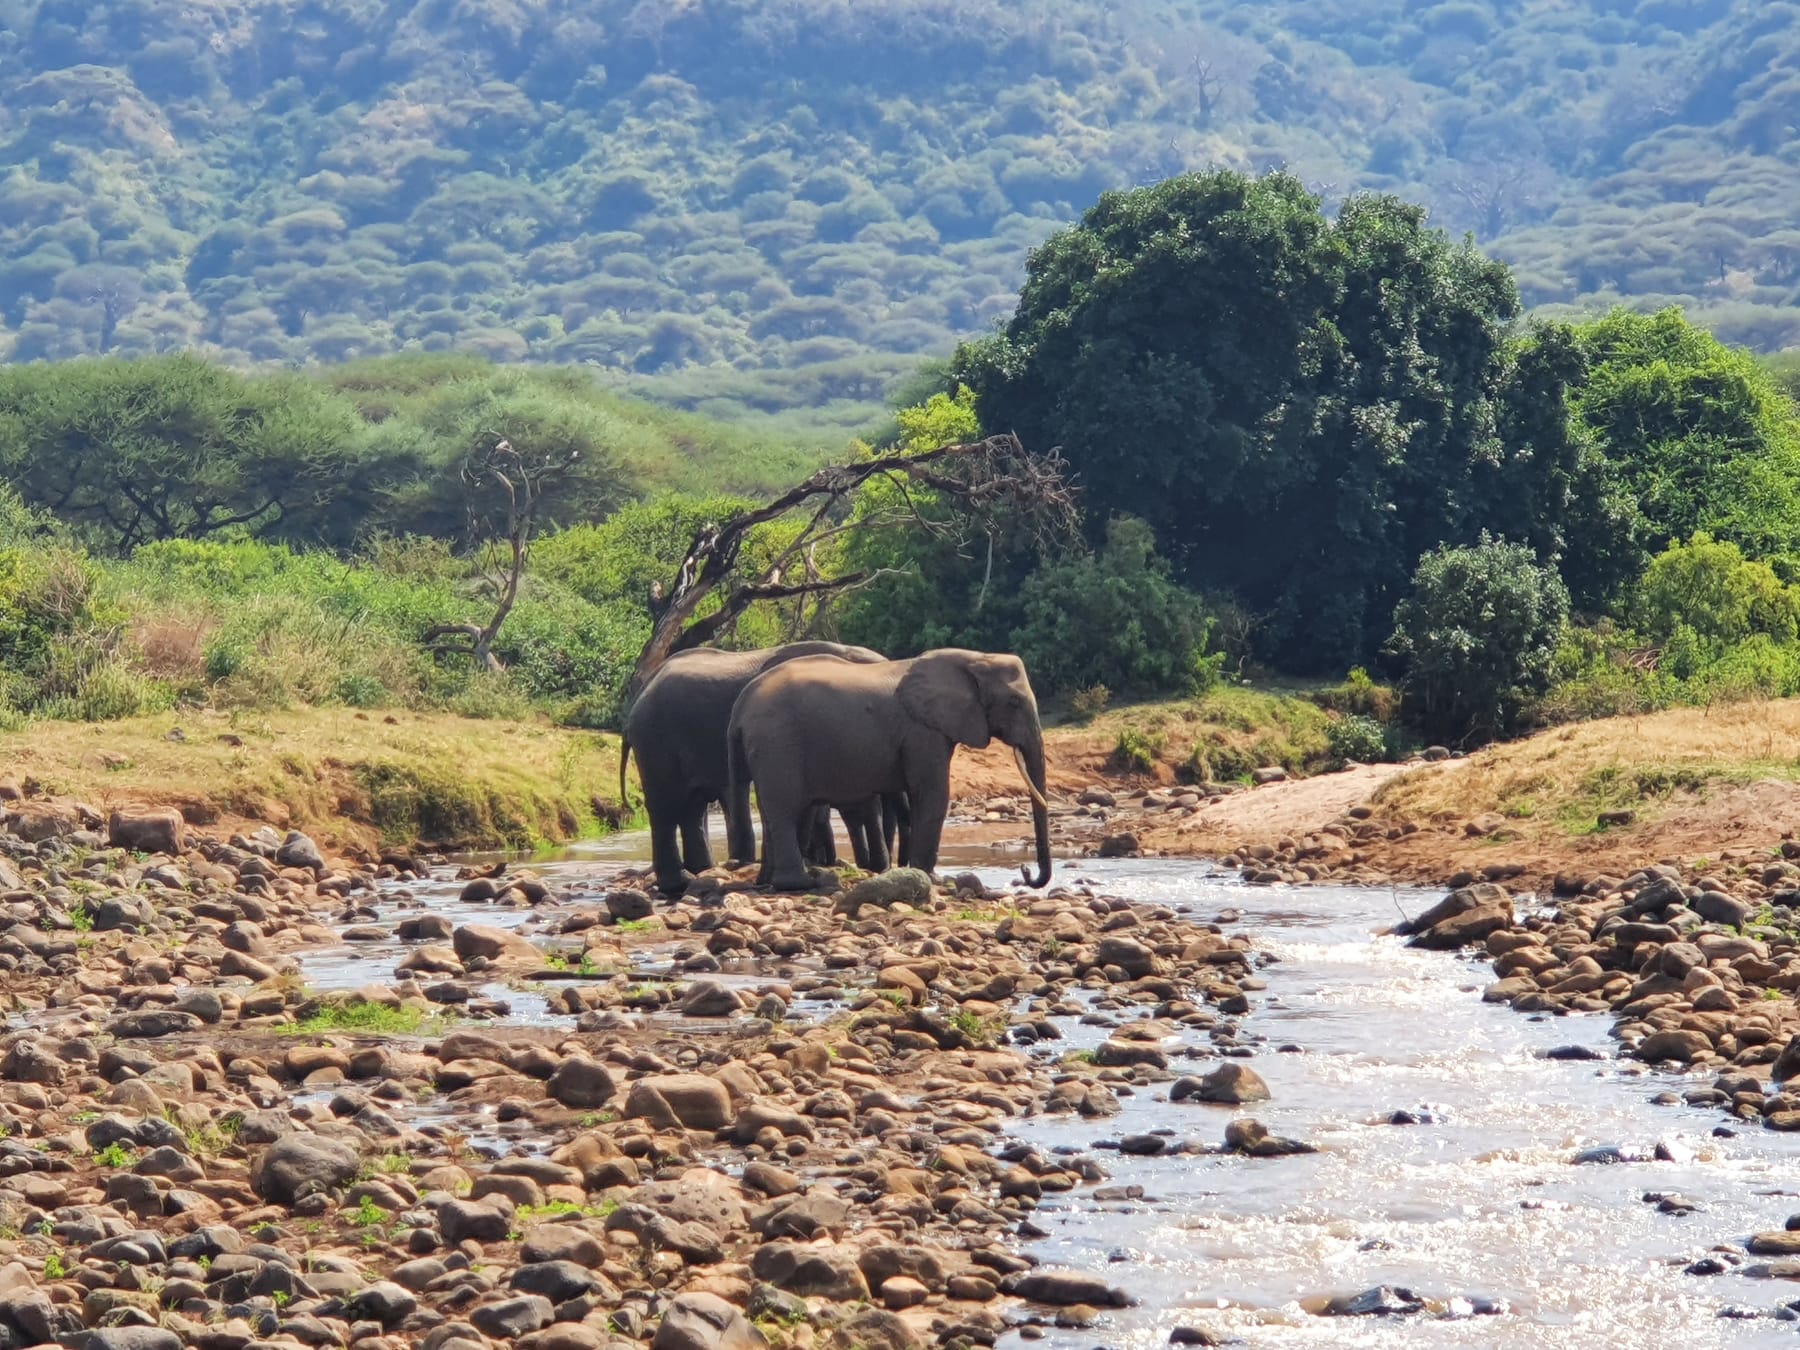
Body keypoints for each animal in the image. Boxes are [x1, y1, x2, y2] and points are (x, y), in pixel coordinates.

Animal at [620, 641, 892, 895]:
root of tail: (643, 690)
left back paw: (701, 871)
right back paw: (678, 883)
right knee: (665, 806)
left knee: (692, 807)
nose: (880, 867)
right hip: (654, 738)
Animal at [727, 648, 1051, 893]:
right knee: (786, 809)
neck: (973, 657)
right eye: (1014, 702)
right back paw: (800, 883)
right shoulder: (922, 730)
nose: (1023, 872)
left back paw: (768, 881)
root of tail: (740, 705)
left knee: (779, 811)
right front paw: (932, 878)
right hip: (778, 743)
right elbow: (932, 794)